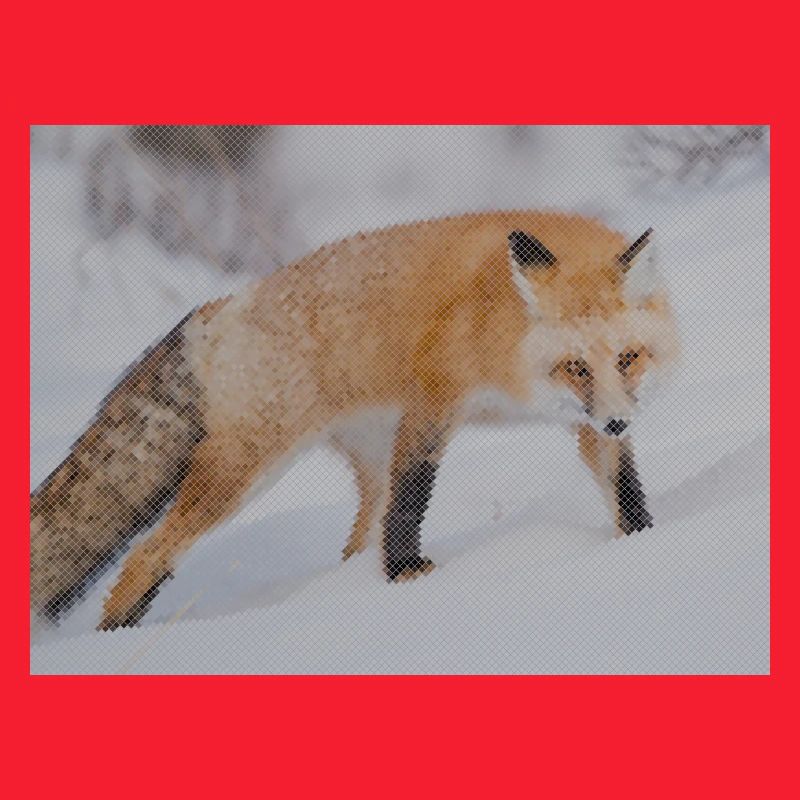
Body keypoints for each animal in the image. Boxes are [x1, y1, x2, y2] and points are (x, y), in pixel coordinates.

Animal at [30, 210, 679, 631]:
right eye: (575, 366)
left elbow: (624, 491)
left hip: (364, 457)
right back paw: (118, 635)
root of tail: (219, 309)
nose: (621, 422)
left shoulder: (586, 422)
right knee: (147, 555)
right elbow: (414, 499)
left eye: (628, 358)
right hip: (244, 473)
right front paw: (407, 575)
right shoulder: (432, 401)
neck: (502, 330)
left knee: (353, 544)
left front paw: (644, 542)